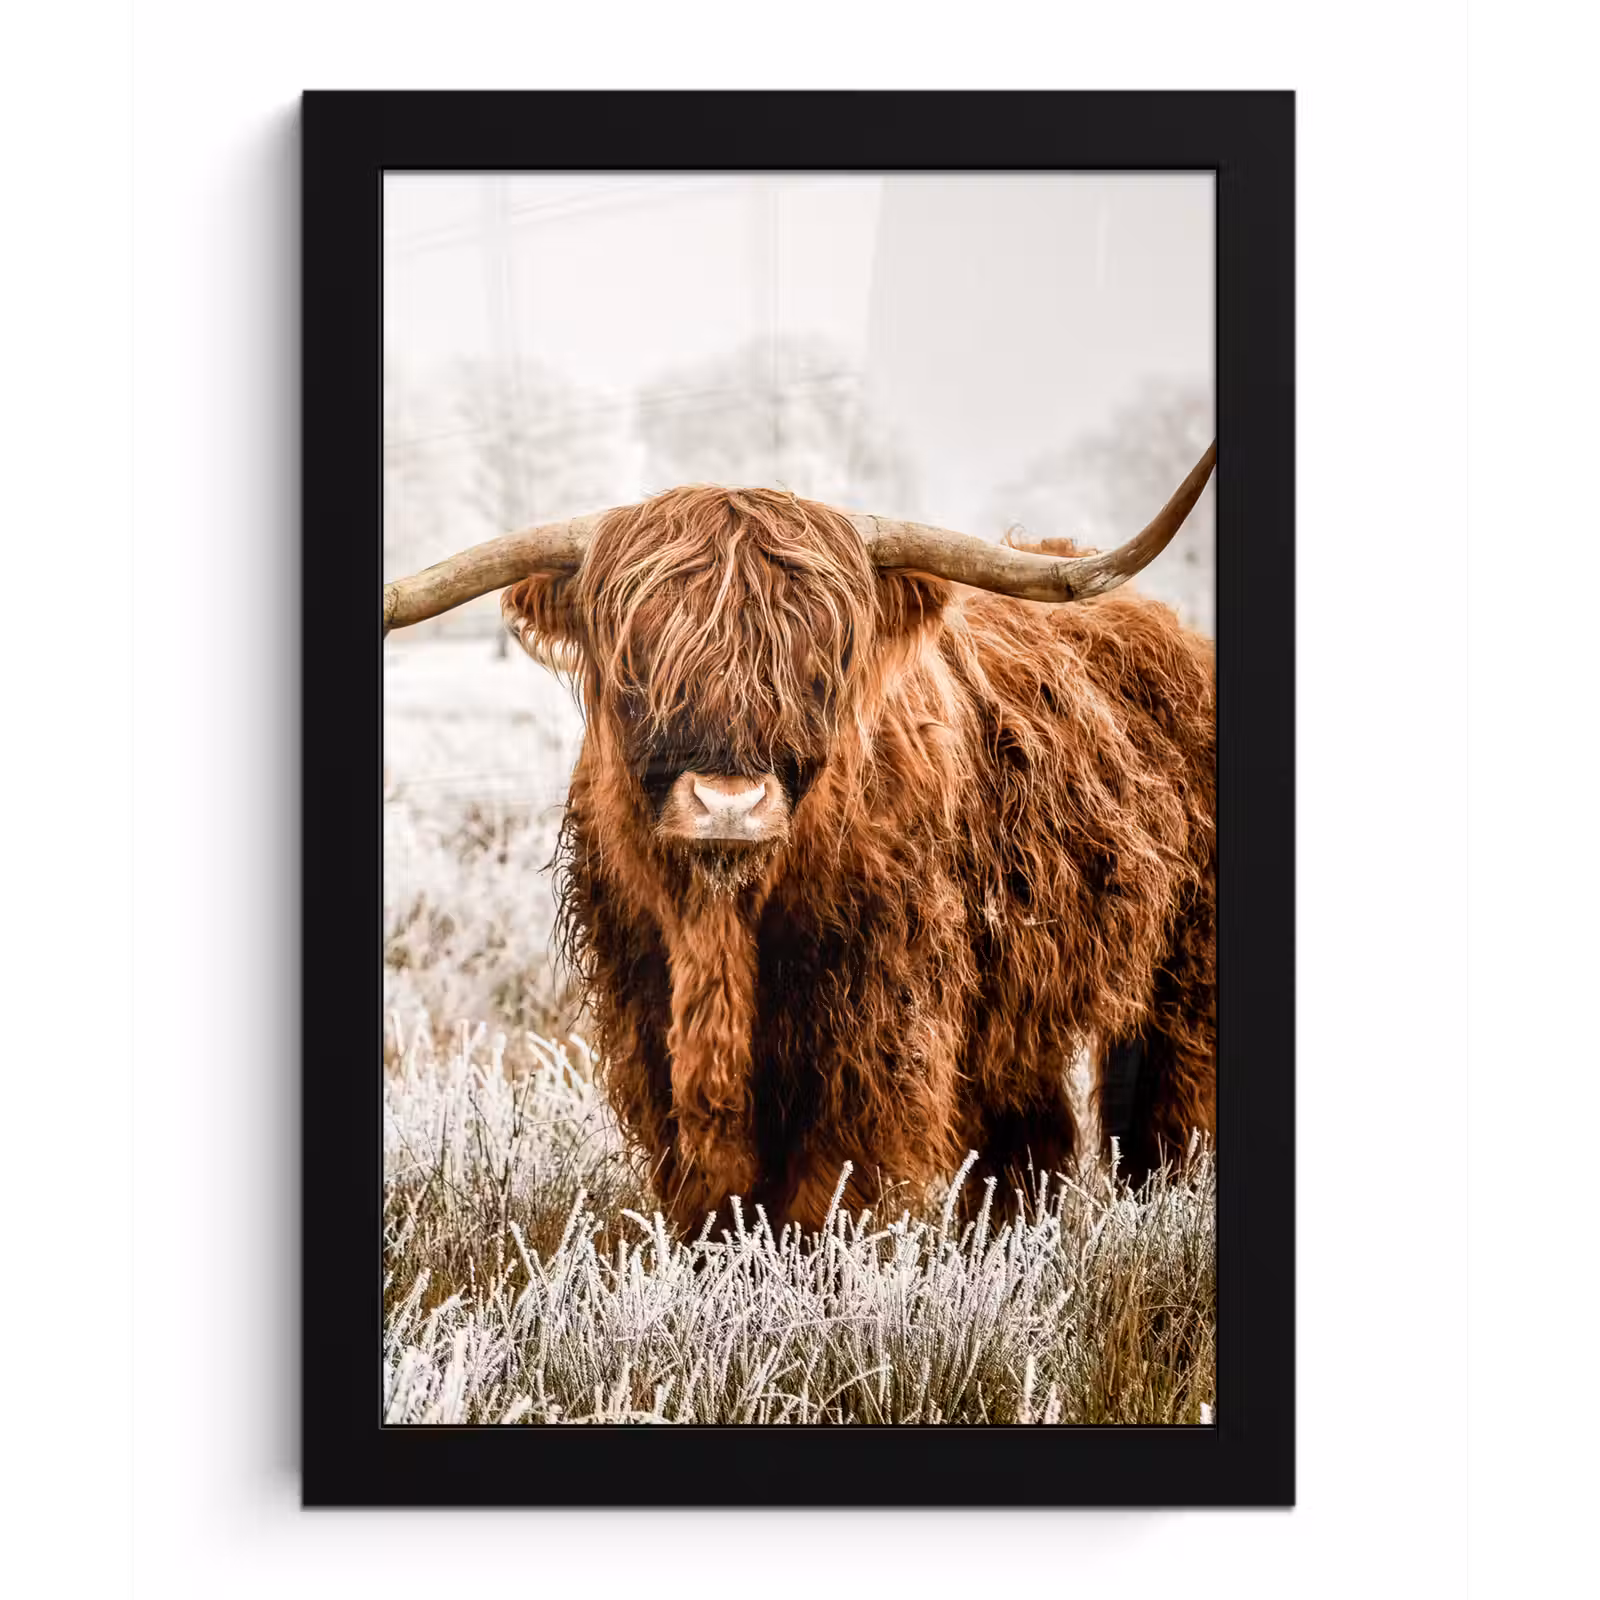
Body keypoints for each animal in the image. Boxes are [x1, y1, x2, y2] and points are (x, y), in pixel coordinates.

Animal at [381, 444, 1217, 1234]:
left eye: (820, 662)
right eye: (639, 662)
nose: (729, 803)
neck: (722, 926)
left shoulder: (877, 1027)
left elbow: (832, 1195)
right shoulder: (647, 1017)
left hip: (1184, 968)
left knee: (1168, 1106)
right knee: (1029, 1131)